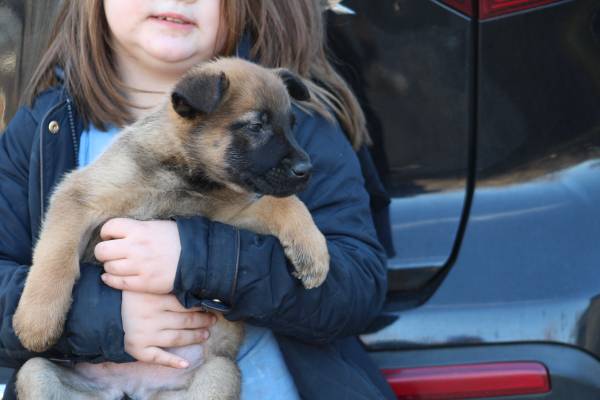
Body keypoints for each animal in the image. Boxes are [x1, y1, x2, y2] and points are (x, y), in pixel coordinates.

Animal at [14, 57, 330, 400]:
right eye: (256, 126)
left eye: (292, 124)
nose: (306, 169)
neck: (184, 175)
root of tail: (129, 388)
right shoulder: (79, 196)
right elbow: (55, 255)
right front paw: (36, 321)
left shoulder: (229, 218)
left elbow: (283, 204)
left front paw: (314, 254)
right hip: (36, 373)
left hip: (219, 374)